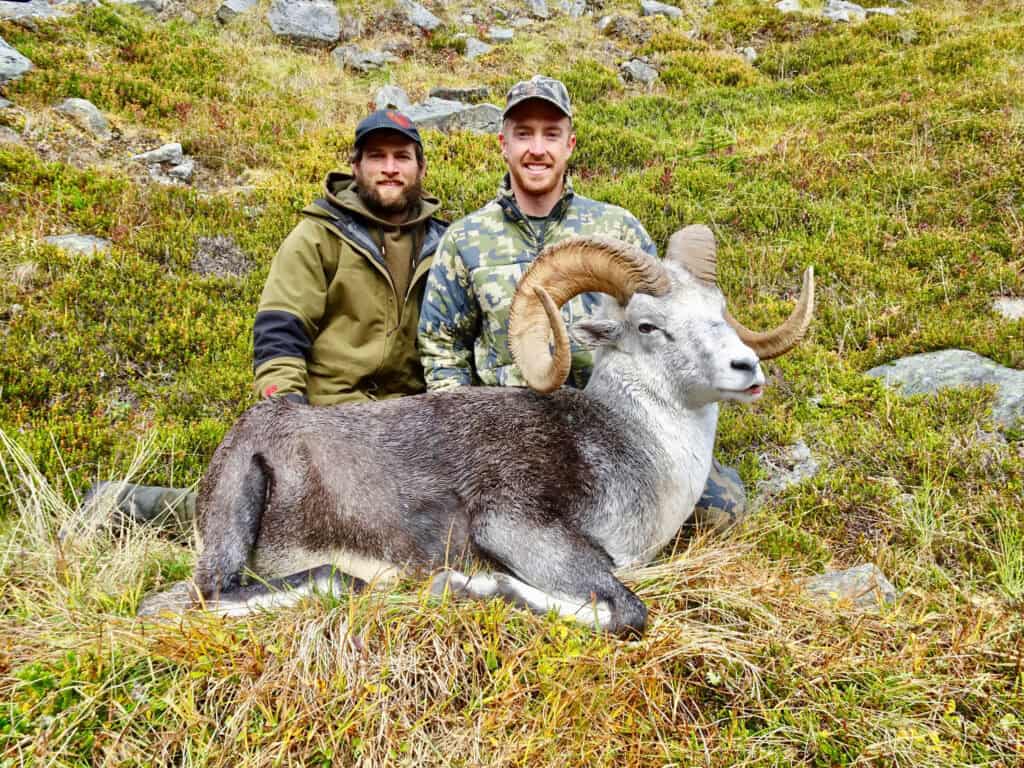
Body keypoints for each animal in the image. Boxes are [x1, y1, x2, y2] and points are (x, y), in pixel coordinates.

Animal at [138, 225, 814, 637]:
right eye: (649, 326)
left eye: (718, 312)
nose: (746, 369)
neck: (628, 448)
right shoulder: (517, 526)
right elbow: (626, 610)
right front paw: (468, 587)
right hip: (239, 514)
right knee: (219, 594)